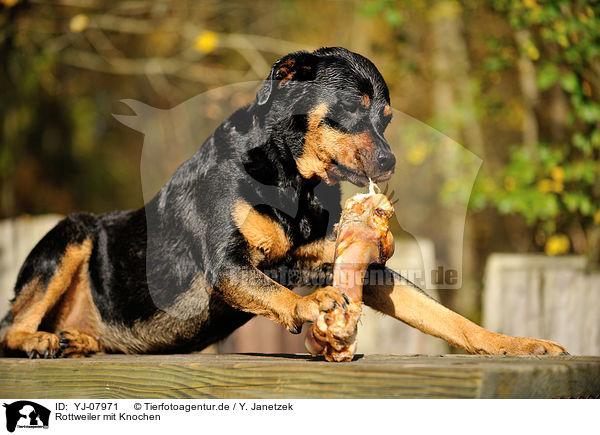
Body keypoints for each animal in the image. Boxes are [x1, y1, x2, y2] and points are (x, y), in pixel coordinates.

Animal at [0, 47, 568, 360]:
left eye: (386, 118)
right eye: (353, 108)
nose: (389, 162)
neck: (294, 181)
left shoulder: (355, 267)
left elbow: (446, 318)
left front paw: (520, 345)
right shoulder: (227, 265)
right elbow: (275, 290)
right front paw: (312, 306)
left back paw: (76, 340)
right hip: (71, 234)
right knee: (11, 325)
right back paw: (37, 341)